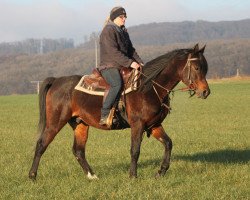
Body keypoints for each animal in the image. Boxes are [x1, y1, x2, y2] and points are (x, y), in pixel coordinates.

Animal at [28, 43, 210, 180]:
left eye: (205, 68)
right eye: (196, 67)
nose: (205, 92)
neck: (148, 87)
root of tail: (56, 81)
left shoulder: (154, 125)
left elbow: (168, 143)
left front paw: (161, 172)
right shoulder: (138, 125)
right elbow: (135, 150)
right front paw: (133, 176)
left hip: (80, 124)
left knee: (78, 150)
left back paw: (92, 176)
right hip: (55, 122)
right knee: (41, 144)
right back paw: (32, 175)